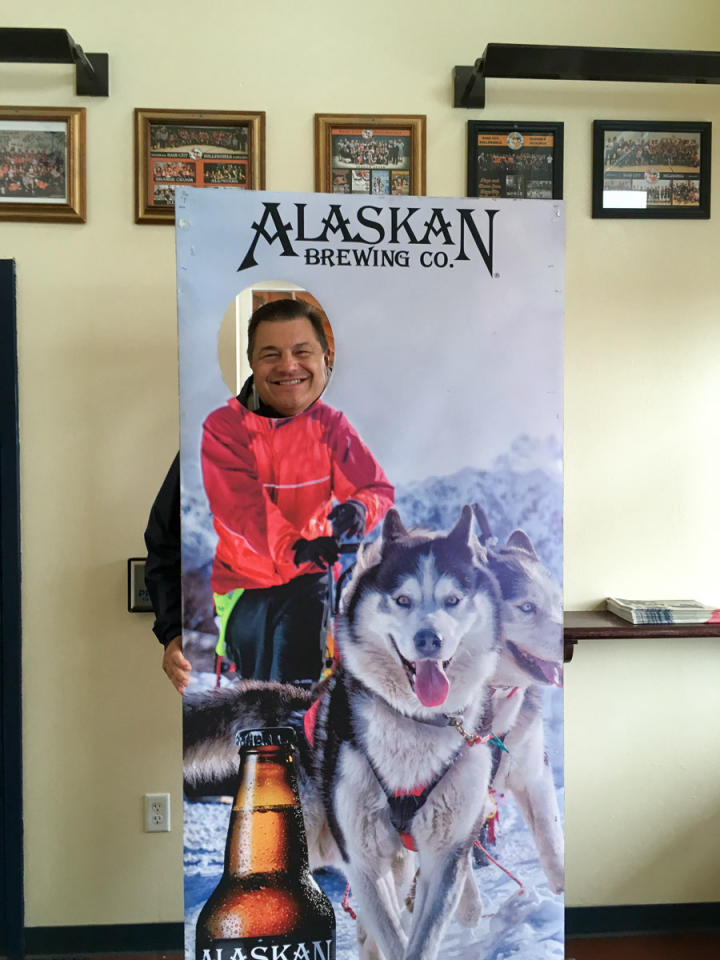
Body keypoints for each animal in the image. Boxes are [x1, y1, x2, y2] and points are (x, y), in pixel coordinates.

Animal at [183, 506, 504, 956]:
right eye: (402, 600)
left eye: (453, 600)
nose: (430, 639)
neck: (413, 723)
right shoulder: (363, 859)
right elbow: (392, 936)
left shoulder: (443, 857)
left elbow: (422, 936)